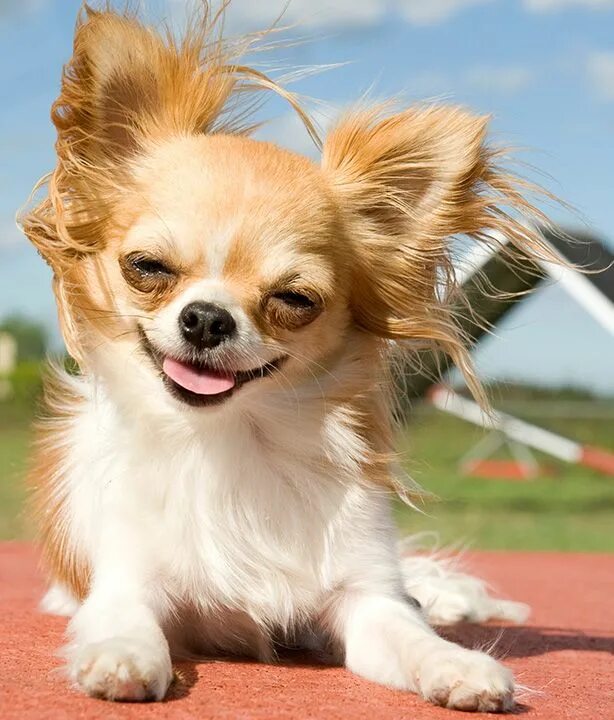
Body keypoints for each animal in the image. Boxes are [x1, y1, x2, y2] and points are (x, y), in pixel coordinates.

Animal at [21, 4, 556, 716]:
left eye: (294, 300)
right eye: (148, 268)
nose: (207, 318)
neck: (232, 441)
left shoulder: (366, 600)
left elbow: (409, 632)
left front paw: (457, 663)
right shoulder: (127, 579)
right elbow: (123, 618)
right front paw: (123, 655)